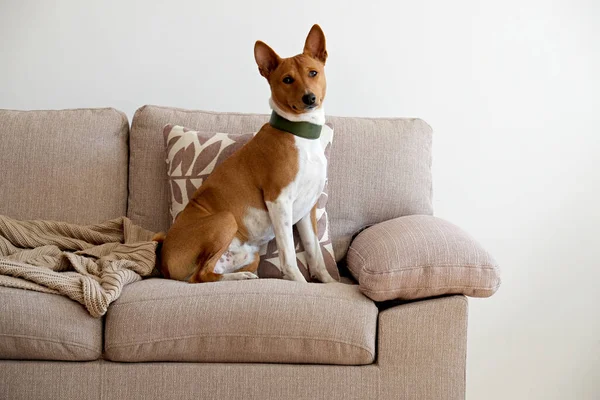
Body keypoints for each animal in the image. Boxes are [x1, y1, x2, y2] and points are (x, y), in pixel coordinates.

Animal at [158, 25, 338, 284]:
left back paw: (242, 275)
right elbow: (289, 257)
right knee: (199, 277)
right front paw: (299, 283)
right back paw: (240, 277)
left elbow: (316, 254)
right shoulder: (279, 200)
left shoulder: (307, 209)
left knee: (211, 272)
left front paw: (329, 282)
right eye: (287, 79)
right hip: (225, 218)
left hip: (251, 255)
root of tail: (164, 260)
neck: (302, 136)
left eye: (313, 73)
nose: (309, 98)